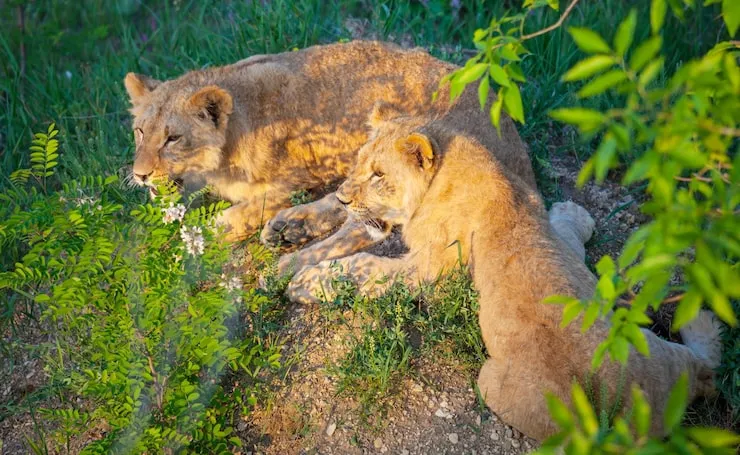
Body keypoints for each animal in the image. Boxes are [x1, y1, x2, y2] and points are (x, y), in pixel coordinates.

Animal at [123, 40, 533, 243]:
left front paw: (208, 233)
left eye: (173, 139)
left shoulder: (293, 182)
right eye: (140, 132)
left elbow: (238, 213)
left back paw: (291, 226)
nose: (140, 175)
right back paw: (290, 229)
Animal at [285, 109, 722, 441]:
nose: (341, 198)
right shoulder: (551, 237)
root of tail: (607, 418)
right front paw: (576, 213)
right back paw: (703, 320)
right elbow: (567, 233)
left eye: (378, 174)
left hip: (490, 379)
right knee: (707, 365)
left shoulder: (429, 270)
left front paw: (304, 282)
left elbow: (364, 267)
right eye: (358, 164)